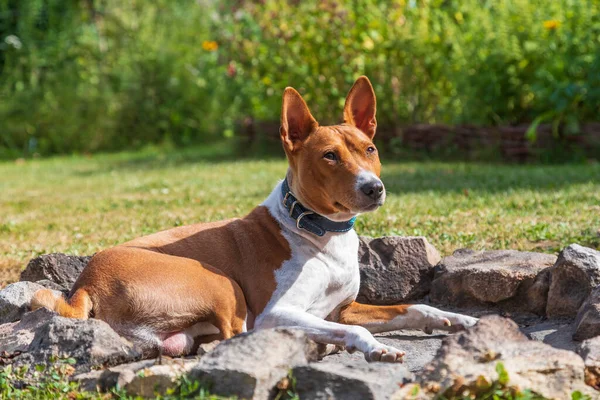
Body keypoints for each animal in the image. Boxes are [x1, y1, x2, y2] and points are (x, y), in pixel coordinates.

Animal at [31, 76, 478, 362]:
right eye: (329, 156)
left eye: (369, 149)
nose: (374, 188)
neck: (318, 232)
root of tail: (86, 281)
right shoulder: (277, 313)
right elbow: (356, 330)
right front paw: (374, 347)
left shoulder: (342, 308)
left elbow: (417, 307)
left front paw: (460, 320)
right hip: (222, 283)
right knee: (233, 337)